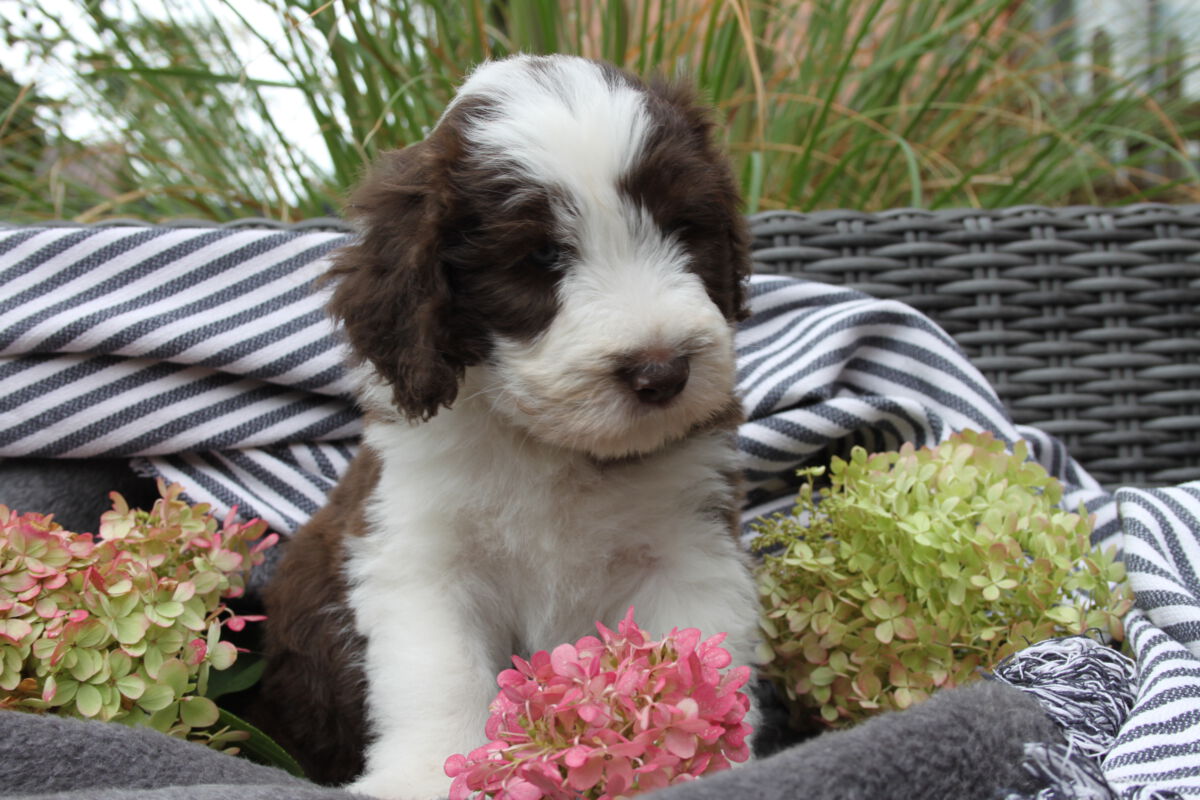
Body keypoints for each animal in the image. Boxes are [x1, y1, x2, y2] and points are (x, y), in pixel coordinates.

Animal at [259, 54, 760, 799]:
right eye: (540, 258)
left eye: (681, 227)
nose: (663, 371)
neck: (554, 449)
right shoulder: (421, 560)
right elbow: (439, 677)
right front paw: (423, 777)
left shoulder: (688, 548)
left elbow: (688, 668)